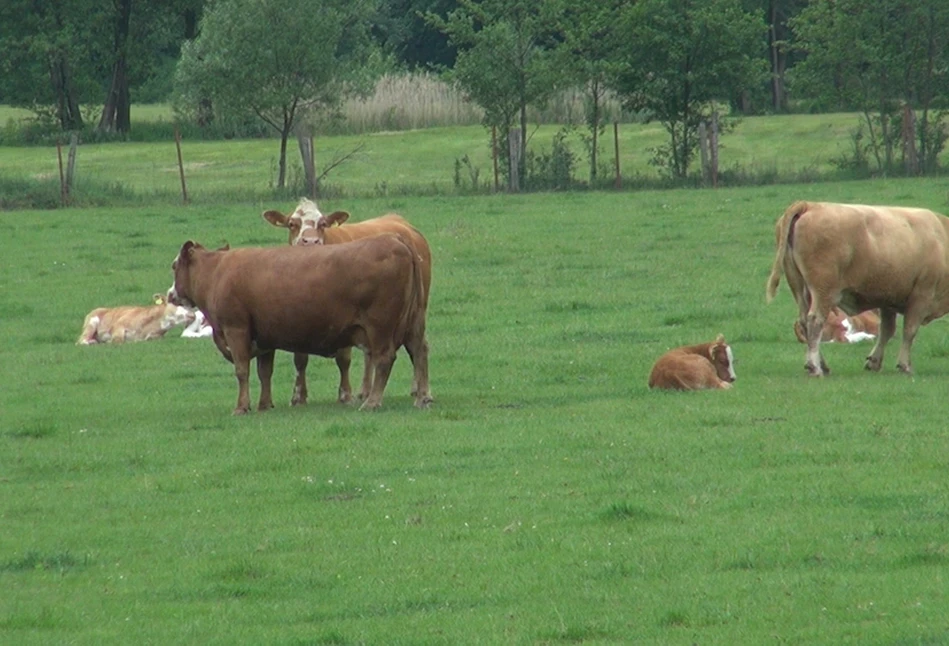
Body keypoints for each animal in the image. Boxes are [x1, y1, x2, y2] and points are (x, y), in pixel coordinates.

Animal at [168, 238, 430, 416]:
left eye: (173, 266)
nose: (170, 294)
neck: (217, 273)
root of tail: (397, 241)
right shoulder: (264, 339)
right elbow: (265, 372)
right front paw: (265, 404)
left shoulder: (236, 330)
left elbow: (242, 371)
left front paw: (242, 406)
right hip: (413, 322)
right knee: (419, 352)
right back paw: (423, 398)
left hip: (380, 326)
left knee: (384, 358)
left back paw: (373, 401)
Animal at [262, 200, 434, 408]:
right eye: (292, 224)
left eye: (323, 224)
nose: (310, 242)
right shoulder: (298, 316)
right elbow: (300, 359)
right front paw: (298, 396)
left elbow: (343, 359)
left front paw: (345, 395)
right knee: (391, 350)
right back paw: (371, 391)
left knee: (415, 347)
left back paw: (417, 391)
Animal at [764, 200, 949, 378]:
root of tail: (809, 205)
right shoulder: (922, 295)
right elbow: (909, 331)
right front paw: (904, 365)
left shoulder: (888, 298)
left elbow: (887, 330)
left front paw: (874, 362)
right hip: (823, 293)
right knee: (815, 321)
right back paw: (814, 367)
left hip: (800, 289)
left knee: (804, 322)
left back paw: (822, 365)